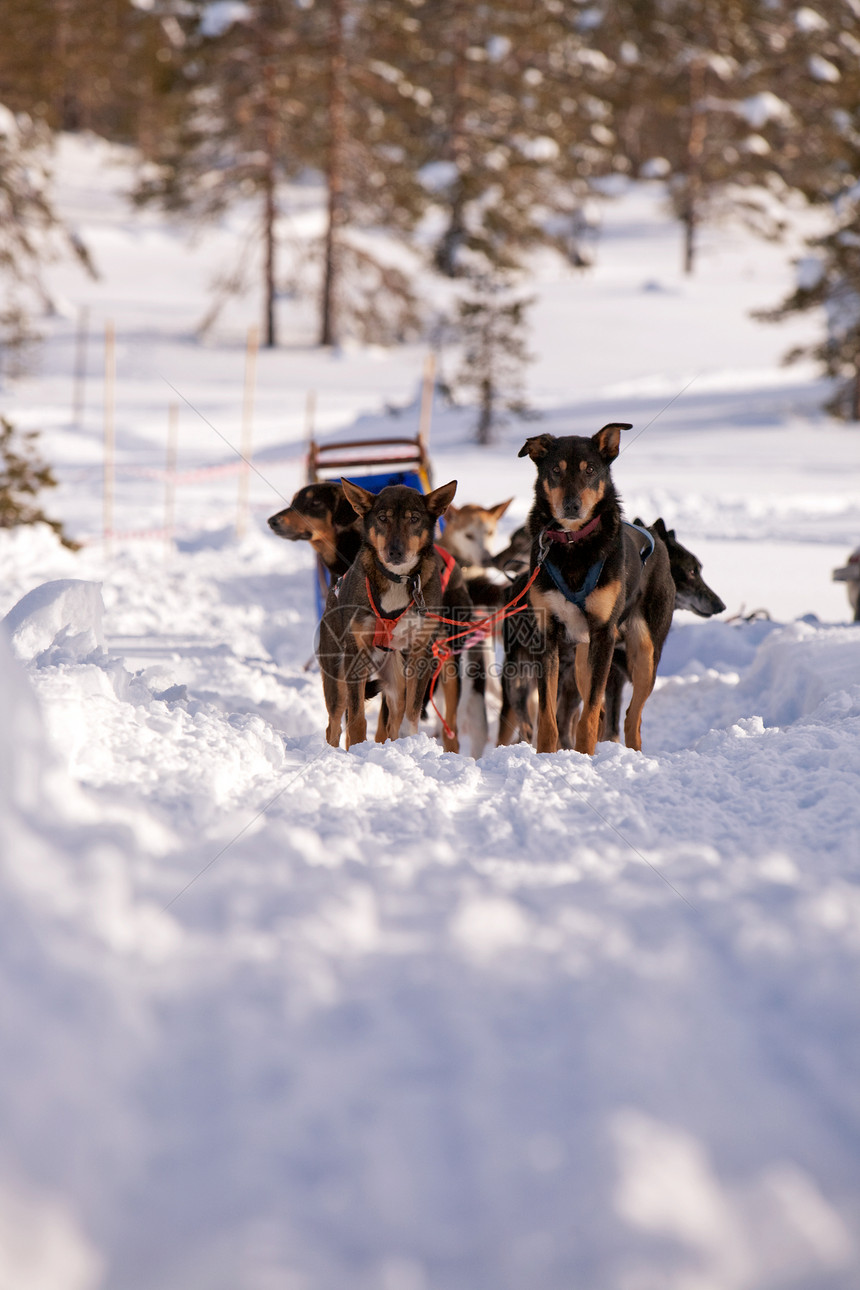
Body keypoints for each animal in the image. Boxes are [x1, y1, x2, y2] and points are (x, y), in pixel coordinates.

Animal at [319, 479, 461, 753]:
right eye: (383, 518)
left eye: (414, 518)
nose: (395, 551)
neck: (398, 579)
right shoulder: (355, 653)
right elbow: (357, 718)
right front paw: (358, 748)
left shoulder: (421, 653)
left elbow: (411, 715)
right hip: (337, 679)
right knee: (334, 725)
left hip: (396, 683)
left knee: (394, 720)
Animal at [505, 428, 680, 753]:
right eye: (555, 470)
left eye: (590, 470)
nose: (571, 505)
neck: (573, 544)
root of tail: (657, 541)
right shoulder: (547, 635)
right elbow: (548, 714)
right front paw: (546, 754)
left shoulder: (604, 633)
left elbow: (590, 713)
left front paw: (585, 755)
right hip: (583, 660)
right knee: (598, 710)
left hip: (644, 652)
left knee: (631, 716)